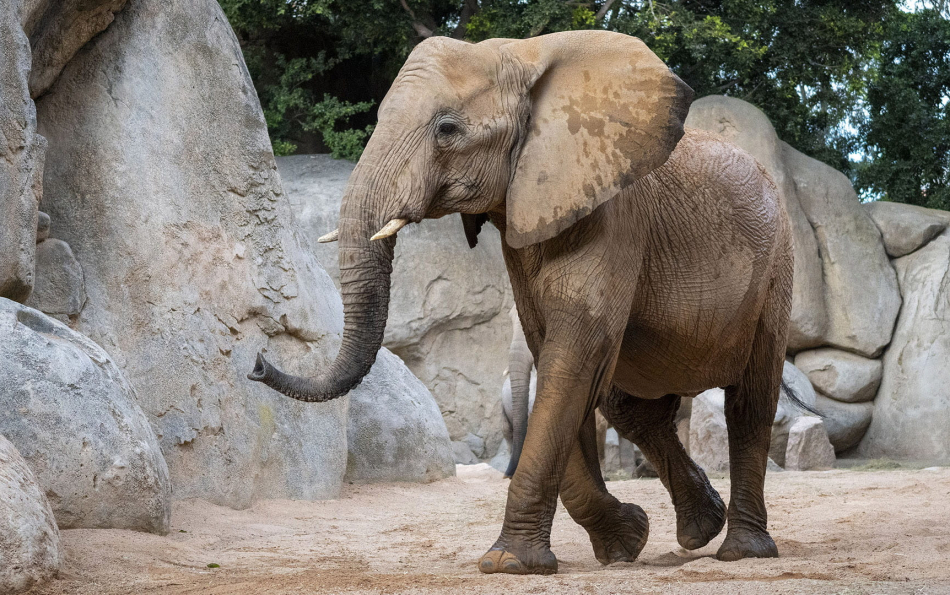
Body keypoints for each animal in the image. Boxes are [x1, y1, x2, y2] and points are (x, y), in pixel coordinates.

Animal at [248, 30, 794, 575]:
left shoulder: (614, 218)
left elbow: (571, 360)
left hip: (776, 269)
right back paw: (699, 528)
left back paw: (741, 550)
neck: (522, 55)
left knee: (749, 403)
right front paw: (624, 541)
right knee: (632, 409)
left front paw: (507, 562)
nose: (256, 363)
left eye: (447, 129)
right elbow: (557, 361)